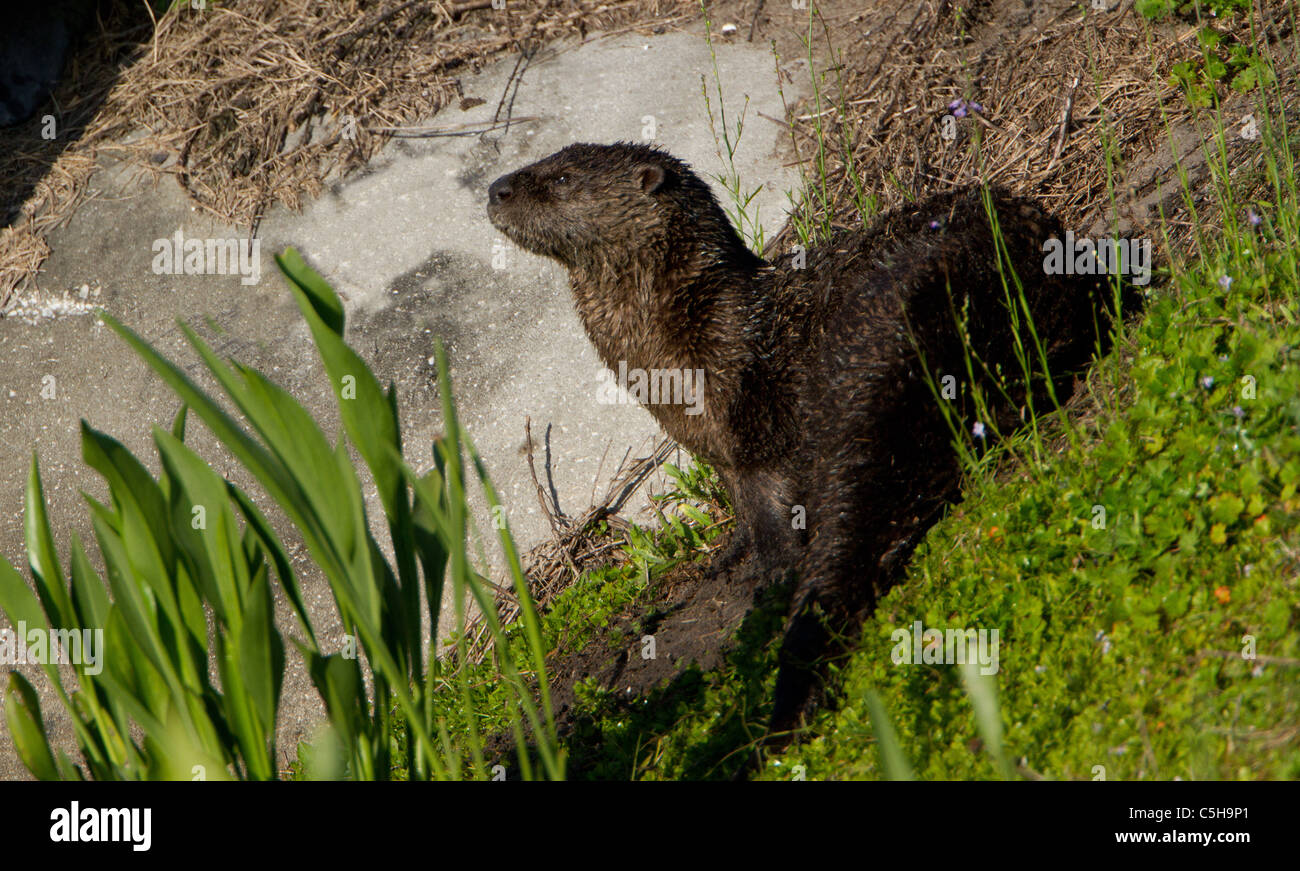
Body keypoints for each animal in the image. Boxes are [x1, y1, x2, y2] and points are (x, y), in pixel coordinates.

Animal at [487, 142, 1116, 731]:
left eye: (561, 178)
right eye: (543, 163)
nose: (496, 189)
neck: (685, 352)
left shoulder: (751, 424)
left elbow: (771, 508)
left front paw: (766, 586)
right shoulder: (720, 454)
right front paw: (730, 556)